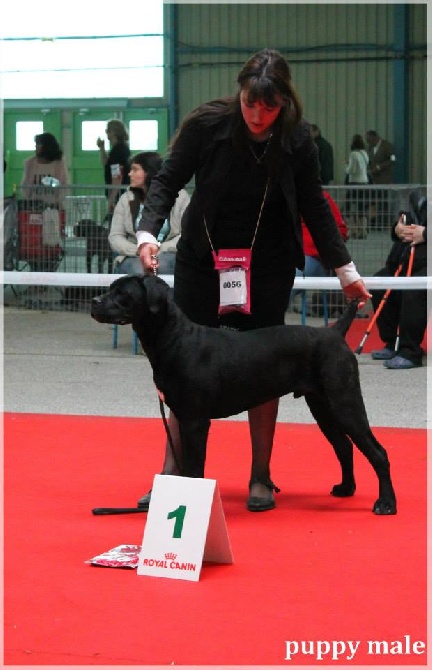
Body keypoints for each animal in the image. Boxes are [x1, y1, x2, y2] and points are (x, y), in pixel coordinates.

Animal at [91, 276, 398, 516]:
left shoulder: (195, 420)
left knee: (378, 452)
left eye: (123, 294)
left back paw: (386, 503)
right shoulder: (181, 413)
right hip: (322, 406)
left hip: (345, 402)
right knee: (344, 446)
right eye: (111, 288)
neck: (175, 339)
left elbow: (194, 465)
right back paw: (345, 489)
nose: (94, 300)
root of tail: (335, 332)